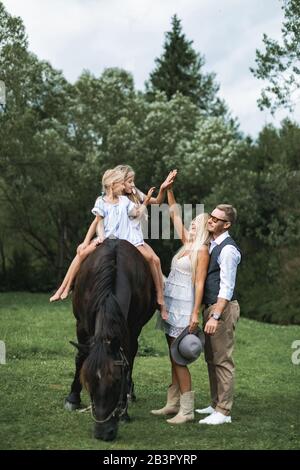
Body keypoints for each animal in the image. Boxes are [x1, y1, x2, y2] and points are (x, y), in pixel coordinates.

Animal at [64, 239, 156, 440]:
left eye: (116, 381)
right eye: (88, 382)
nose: (103, 432)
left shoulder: (131, 329)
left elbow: (128, 362)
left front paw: (124, 411)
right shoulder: (81, 324)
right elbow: (80, 358)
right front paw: (73, 398)